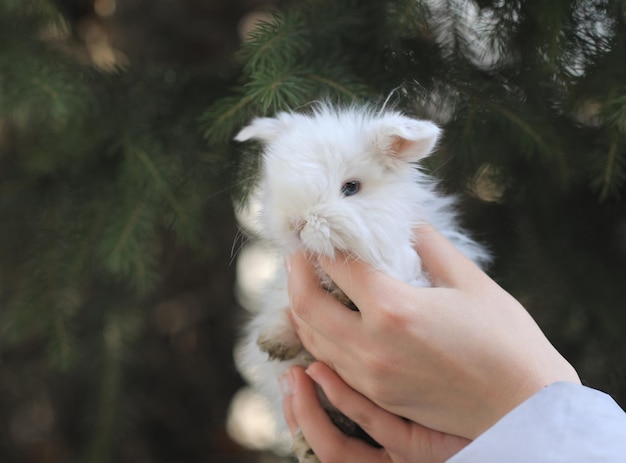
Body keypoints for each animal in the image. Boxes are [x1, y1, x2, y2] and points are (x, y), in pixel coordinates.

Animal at [233, 103, 488, 462]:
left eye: (351, 187)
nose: (295, 223)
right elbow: (283, 308)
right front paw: (274, 342)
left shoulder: (411, 273)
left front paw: (342, 294)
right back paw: (310, 445)